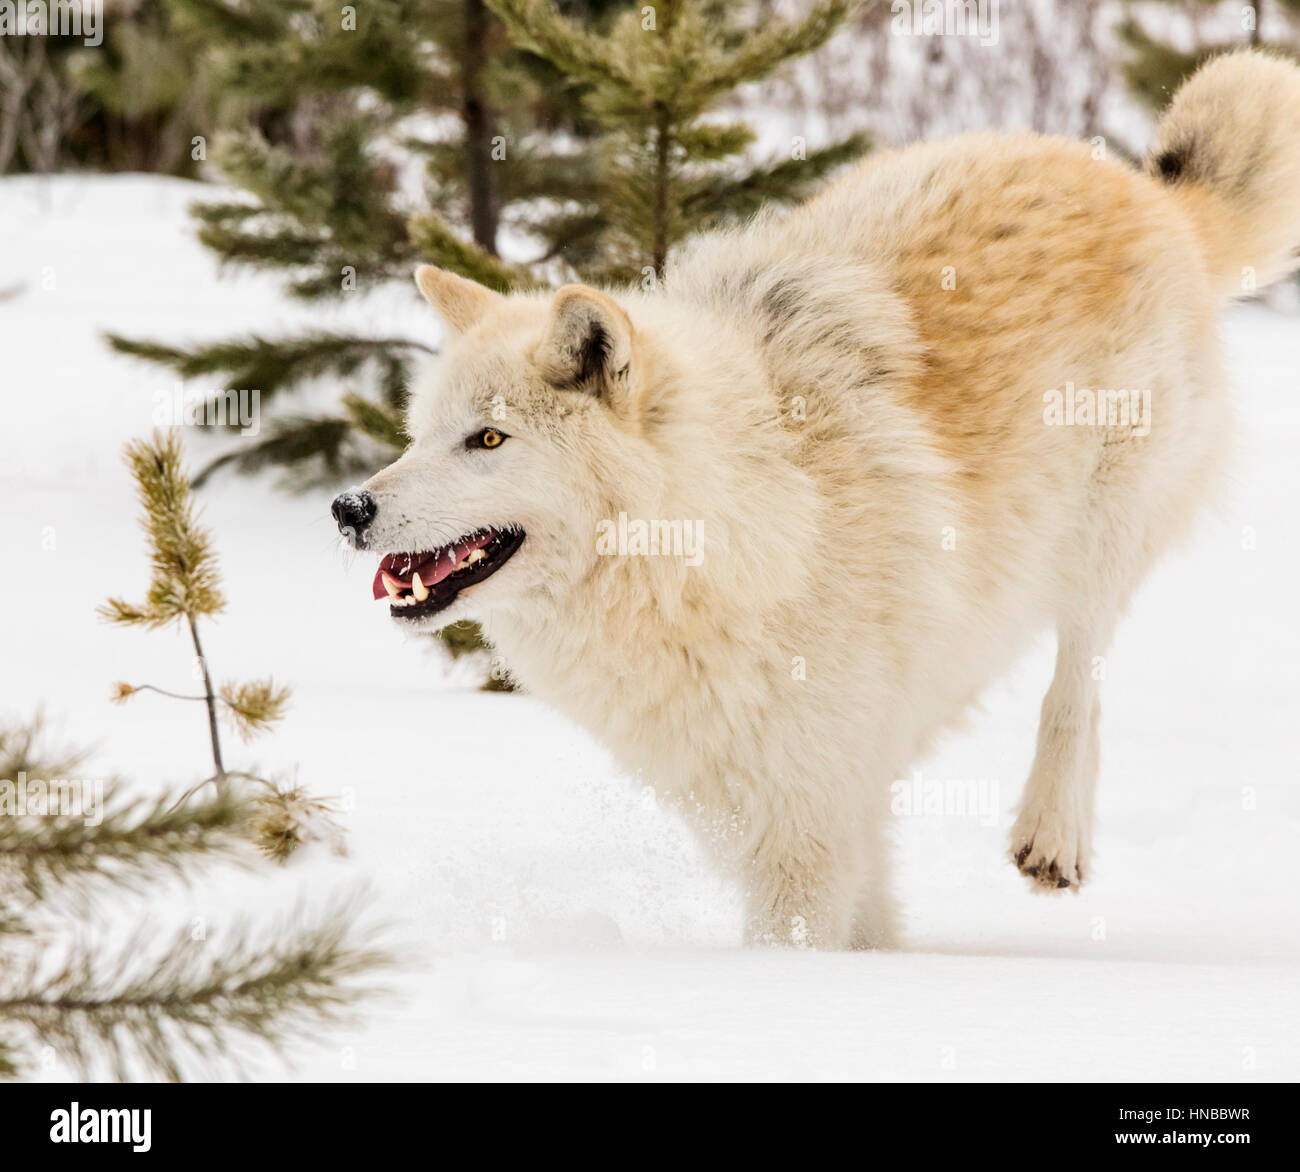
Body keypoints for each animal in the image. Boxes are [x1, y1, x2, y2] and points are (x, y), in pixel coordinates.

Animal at [333, 51, 1300, 949]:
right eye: (418, 436)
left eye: (488, 441)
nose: (349, 511)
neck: (724, 535)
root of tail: (1146, 190)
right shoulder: (798, 805)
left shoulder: (803, 822)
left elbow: (791, 944)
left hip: (1100, 534)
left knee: (1081, 673)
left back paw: (1051, 834)